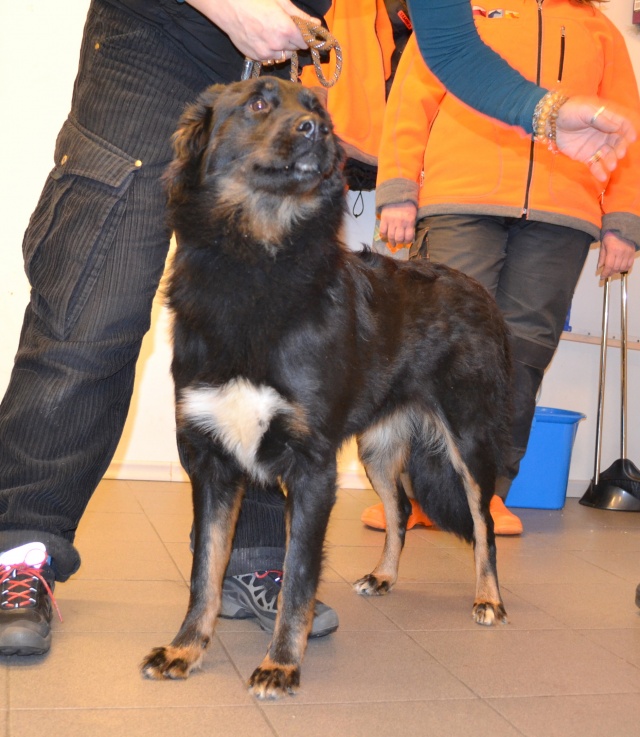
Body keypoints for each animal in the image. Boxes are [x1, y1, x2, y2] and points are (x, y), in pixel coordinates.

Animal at [141, 77, 511, 699]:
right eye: (259, 104)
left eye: (318, 109)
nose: (318, 131)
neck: (256, 260)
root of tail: (478, 291)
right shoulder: (212, 463)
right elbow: (205, 573)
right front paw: (186, 648)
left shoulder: (311, 468)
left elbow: (297, 578)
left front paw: (281, 664)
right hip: (377, 448)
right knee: (401, 508)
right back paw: (384, 576)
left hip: (469, 441)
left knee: (482, 523)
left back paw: (488, 598)